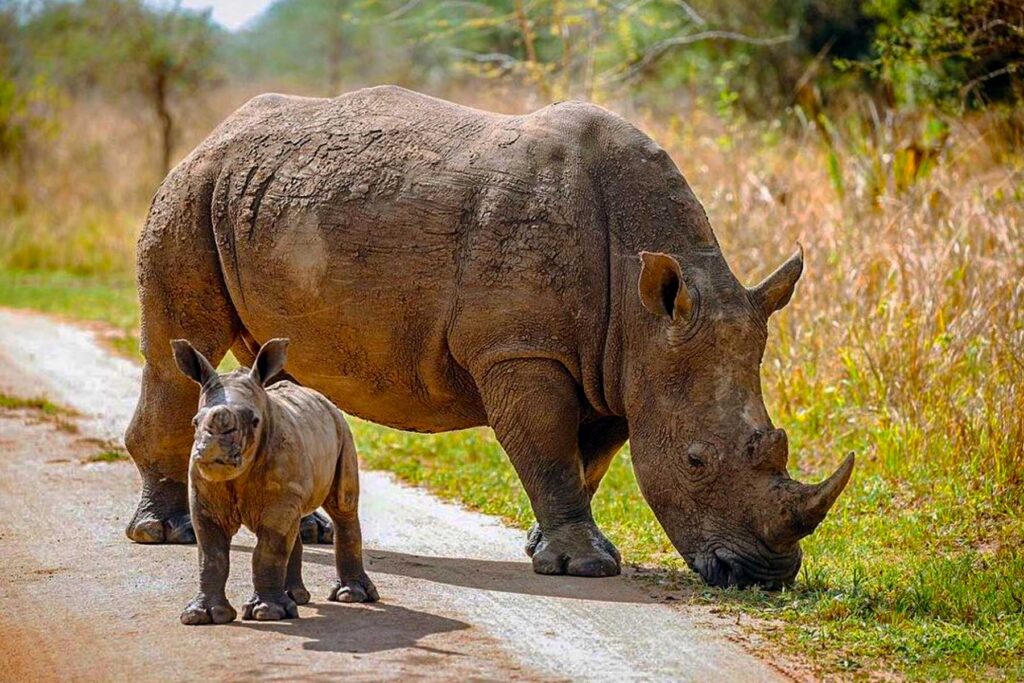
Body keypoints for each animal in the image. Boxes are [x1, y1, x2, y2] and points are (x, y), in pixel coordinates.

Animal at [125, 85, 854, 588]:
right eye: (697, 460)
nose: (764, 576)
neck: (645, 308)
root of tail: (213, 134)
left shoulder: (619, 362)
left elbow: (588, 460)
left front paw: (545, 548)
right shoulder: (523, 350)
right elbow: (549, 449)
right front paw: (586, 567)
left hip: (254, 203)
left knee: (269, 360)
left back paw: (304, 527)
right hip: (190, 194)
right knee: (179, 347)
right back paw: (163, 533)